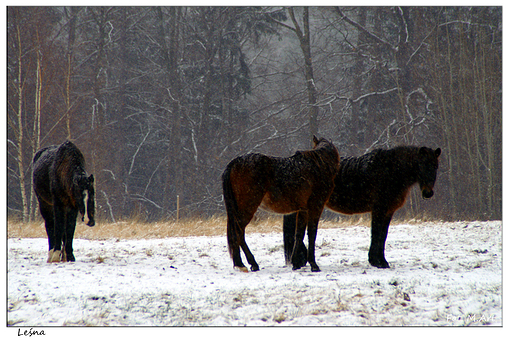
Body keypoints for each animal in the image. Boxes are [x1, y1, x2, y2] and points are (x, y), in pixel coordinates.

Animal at [221, 135, 340, 270]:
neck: (319, 166)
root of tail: (235, 162)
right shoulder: (316, 207)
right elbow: (311, 234)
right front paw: (313, 264)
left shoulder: (303, 210)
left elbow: (299, 234)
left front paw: (295, 263)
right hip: (248, 207)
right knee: (238, 232)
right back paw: (251, 263)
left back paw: (240, 263)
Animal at [282, 145, 440, 270]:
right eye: (422, 165)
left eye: (435, 166)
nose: (428, 193)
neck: (391, 170)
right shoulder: (379, 209)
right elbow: (376, 233)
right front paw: (377, 261)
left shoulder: (388, 211)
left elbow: (383, 235)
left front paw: (382, 261)